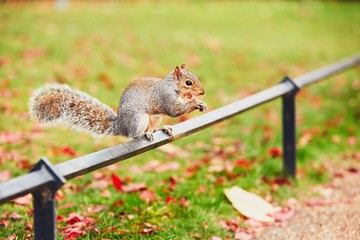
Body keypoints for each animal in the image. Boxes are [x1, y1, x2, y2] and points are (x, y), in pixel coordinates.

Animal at [29, 64, 207, 142]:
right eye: (189, 82)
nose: (202, 92)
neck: (172, 86)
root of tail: (121, 125)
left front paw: (199, 101)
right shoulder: (165, 97)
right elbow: (174, 110)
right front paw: (195, 102)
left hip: (154, 118)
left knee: (152, 127)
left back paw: (162, 129)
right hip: (138, 119)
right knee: (133, 135)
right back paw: (144, 134)